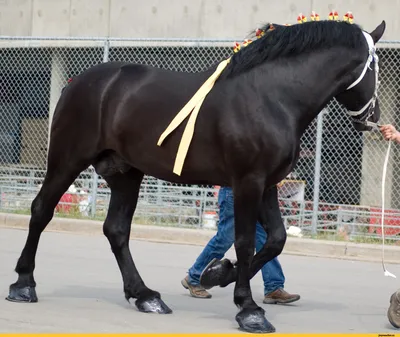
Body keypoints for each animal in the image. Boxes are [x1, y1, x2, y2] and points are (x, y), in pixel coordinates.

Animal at [6, 19, 386, 332]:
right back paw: (23, 284)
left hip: (126, 173)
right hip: (67, 160)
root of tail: (78, 82)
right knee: (41, 211)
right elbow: (245, 242)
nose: (373, 117)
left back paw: (145, 295)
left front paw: (217, 273)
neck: (271, 97)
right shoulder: (248, 181)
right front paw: (248, 309)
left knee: (116, 230)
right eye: (375, 68)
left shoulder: (267, 185)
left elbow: (276, 239)